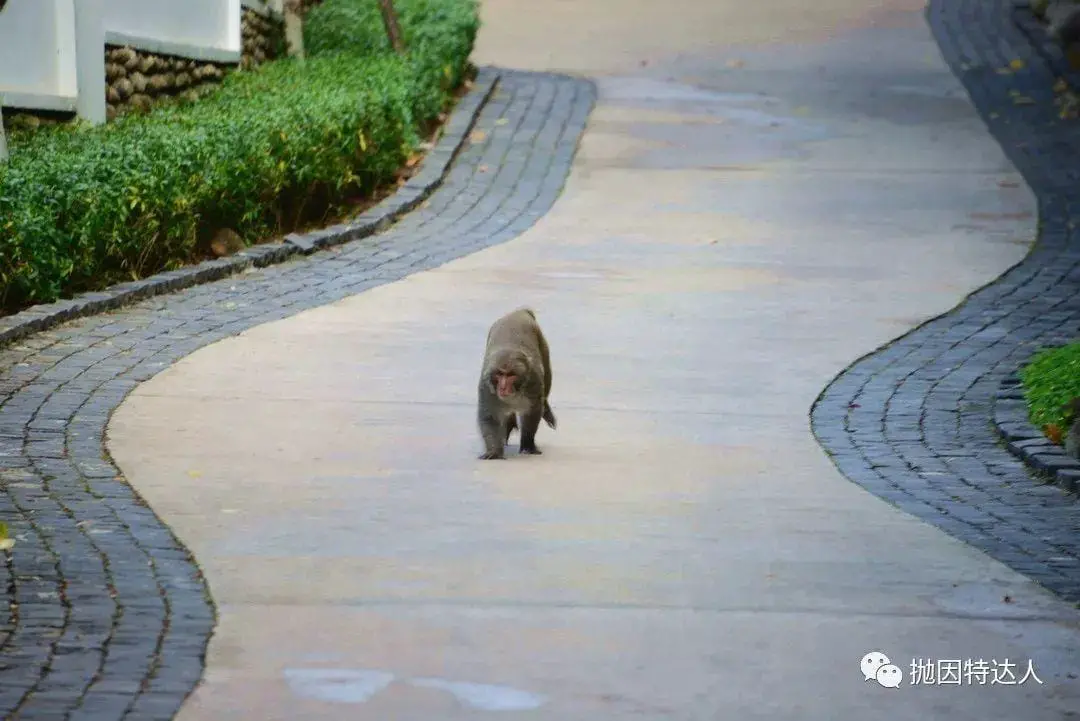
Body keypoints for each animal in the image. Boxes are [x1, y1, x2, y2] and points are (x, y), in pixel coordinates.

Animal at [479, 306, 557, 459]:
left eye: (511, 375)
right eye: (499, 374)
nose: (503, 387)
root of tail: (519, 312)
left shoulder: (533, 381)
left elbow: (532, 413)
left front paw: (527, 444)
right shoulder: (486, 387)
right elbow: (490, 417)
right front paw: (494, 451)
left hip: (541, 342)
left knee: (547, 378)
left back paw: (546, 410)